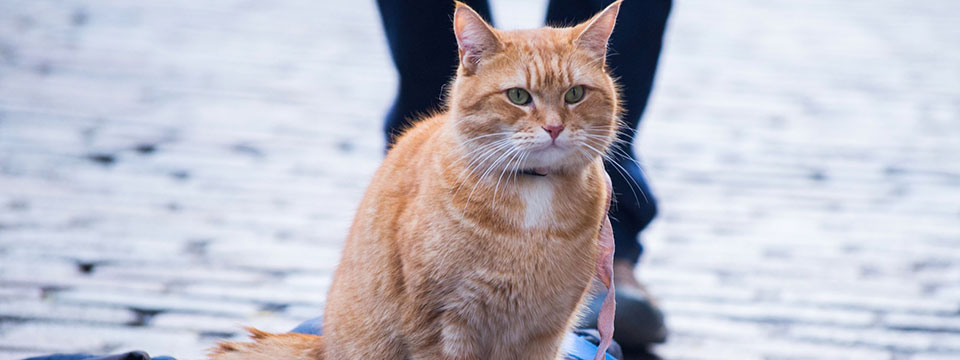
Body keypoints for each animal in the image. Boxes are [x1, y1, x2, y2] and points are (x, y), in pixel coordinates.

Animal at [212, 2, 624, 360]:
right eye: (519, 96)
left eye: (575, 94)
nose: (554, 128)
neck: (534, 198)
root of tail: (323, 346)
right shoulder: (443, 323)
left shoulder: (543, 332)